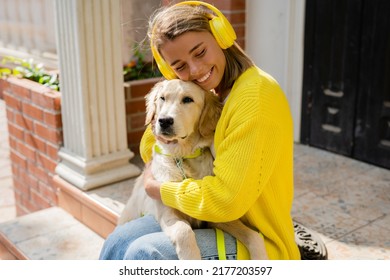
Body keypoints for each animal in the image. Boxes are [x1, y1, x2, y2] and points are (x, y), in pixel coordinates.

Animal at [118, 79, 268, 260]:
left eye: (188, 100)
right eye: (162, 98)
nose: (164, 121)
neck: (183, 156)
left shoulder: (216, 218)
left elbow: (253, 235)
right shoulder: (167, 213)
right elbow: (184, 231)